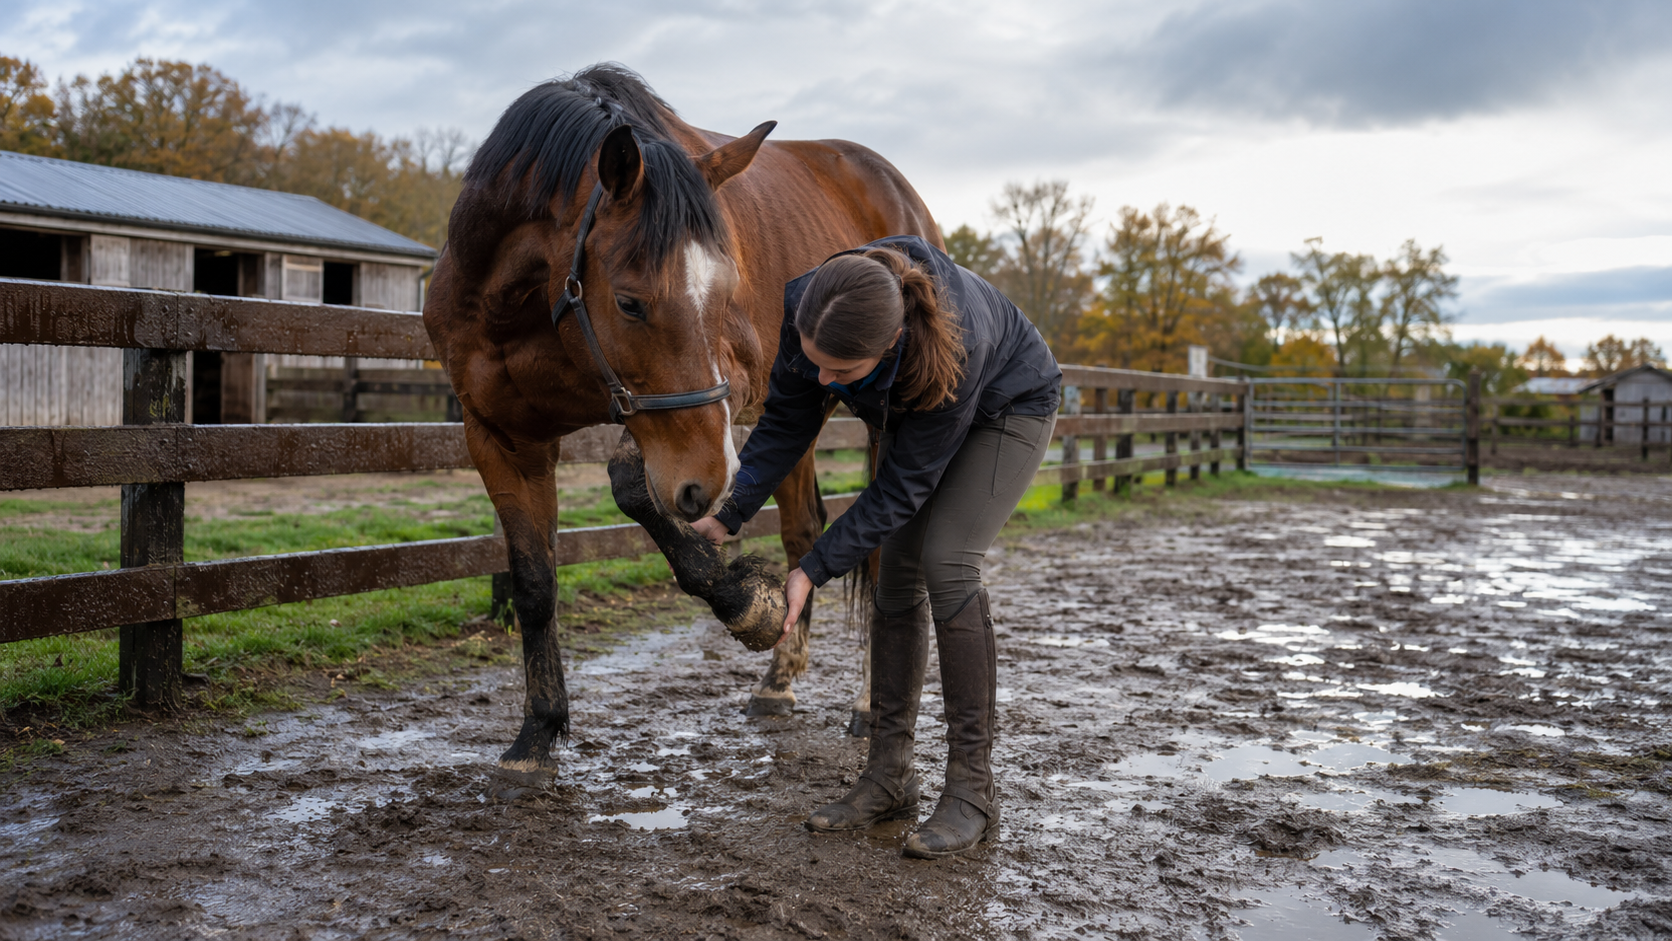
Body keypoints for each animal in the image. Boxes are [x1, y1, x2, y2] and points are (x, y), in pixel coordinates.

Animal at [424, 64, 940, 771]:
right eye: (629, 302)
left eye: (725, 293)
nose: (711, 484)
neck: (518, 305)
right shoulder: (500, 437)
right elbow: (533, 585)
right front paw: (537, 731)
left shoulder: (722, 393)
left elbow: (632, 485)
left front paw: (746, 603)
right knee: (804, 531)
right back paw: (778, 681)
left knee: (882, 553)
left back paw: (866, 702)